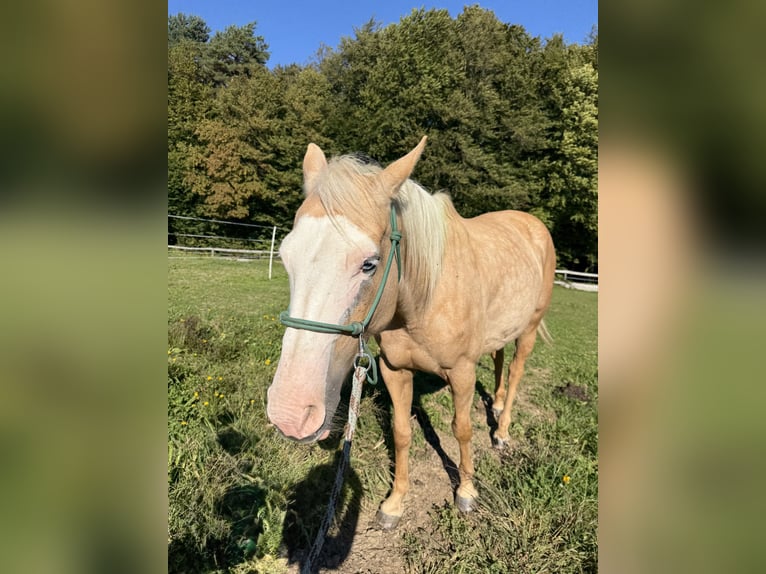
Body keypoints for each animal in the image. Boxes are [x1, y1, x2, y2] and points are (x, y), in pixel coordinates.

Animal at [267, 137, 555, 529]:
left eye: (369, 263)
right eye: (285, 257)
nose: (290, 414)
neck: (423, 297)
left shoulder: (461, 372)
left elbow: (461, 429)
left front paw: (466, 492)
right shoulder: (395, 370)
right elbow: (402, 433)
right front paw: (394, 504)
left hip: (528, 329)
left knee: (514, 372)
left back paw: (501, 431)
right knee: (498, 361)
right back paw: (493, 405)